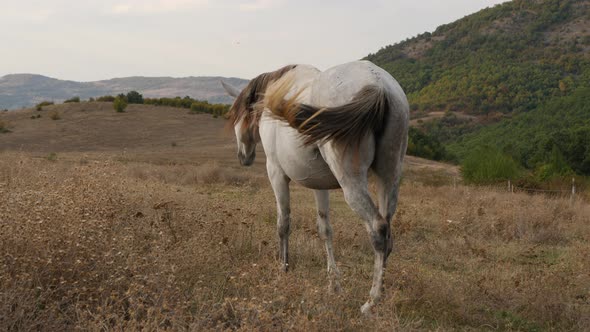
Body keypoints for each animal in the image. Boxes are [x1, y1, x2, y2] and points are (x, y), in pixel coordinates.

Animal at [223, 60, 412, 314]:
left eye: (239, 115)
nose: (243, 157)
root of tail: (378, 85)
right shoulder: (318, 185)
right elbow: (325, 229)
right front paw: (334, 284)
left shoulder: (276, 174)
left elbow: (283, 224)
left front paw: (283, 268)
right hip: (388, 178)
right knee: (388, 233)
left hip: (351, 182)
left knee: (378, 230)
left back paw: (371, 303)